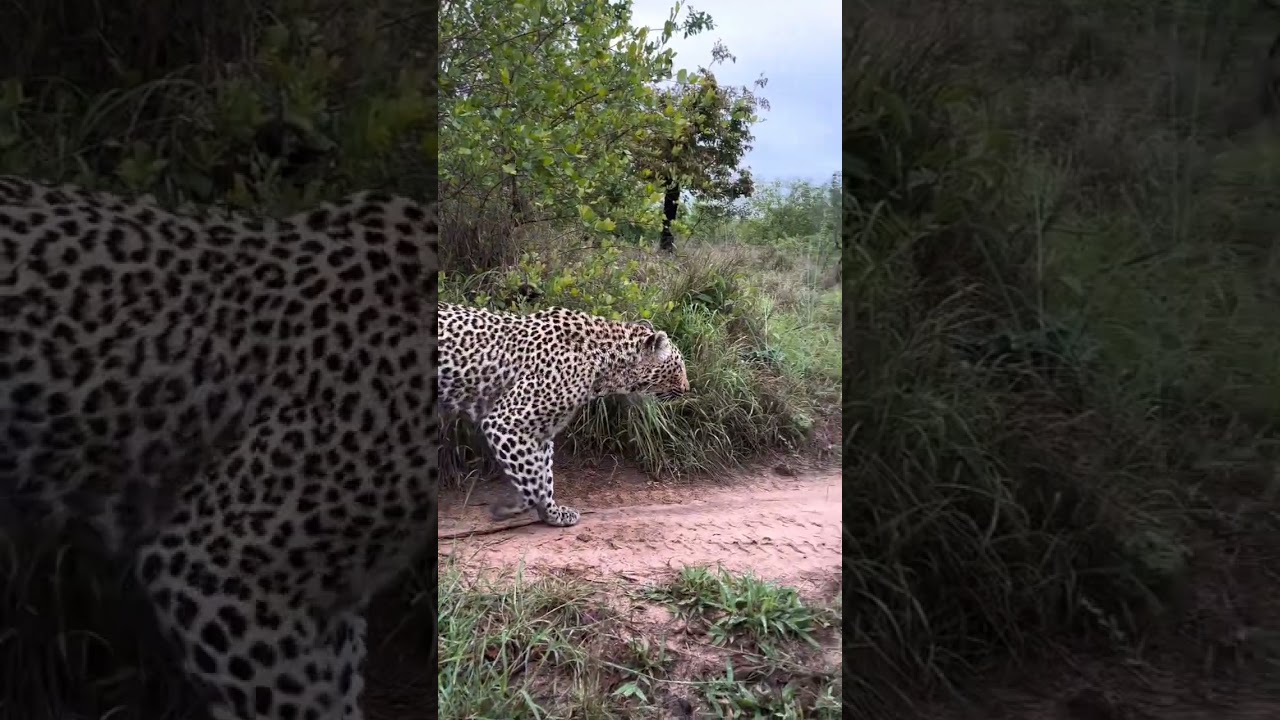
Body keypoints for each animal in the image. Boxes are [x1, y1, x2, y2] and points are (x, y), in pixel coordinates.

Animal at [439, 302, 690, 527]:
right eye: (679, 367)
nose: (687, 389)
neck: (605, 365)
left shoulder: (540, 431)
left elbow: (543, 477)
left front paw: (553, 514)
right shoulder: (506, 422)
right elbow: (533, 482)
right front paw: (507, 509)